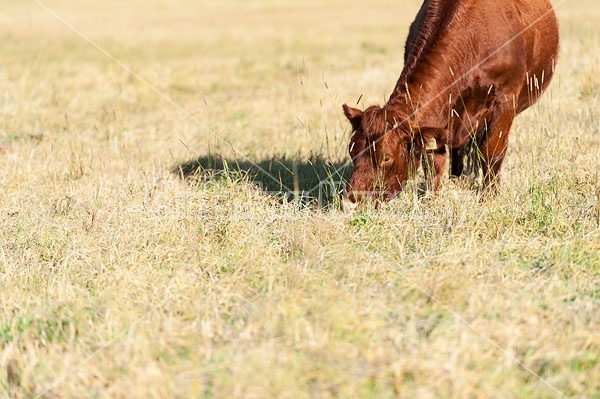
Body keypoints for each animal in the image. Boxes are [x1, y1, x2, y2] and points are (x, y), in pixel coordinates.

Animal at [344, 0, 560, 212]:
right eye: (352, 151)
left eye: (386, 158)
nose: (350, 203)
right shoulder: (440, 114)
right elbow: (434, 159)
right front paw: (431, 199)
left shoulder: (505, 99)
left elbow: (491, 151)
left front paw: (489, 198)